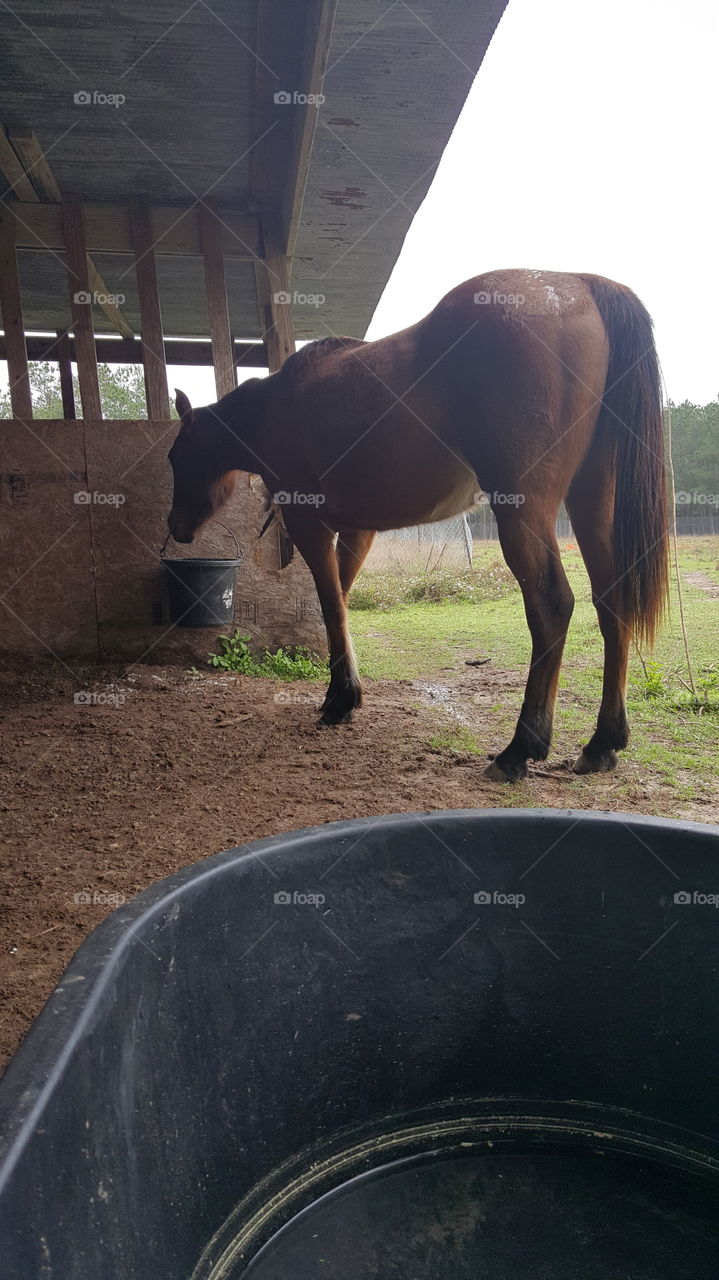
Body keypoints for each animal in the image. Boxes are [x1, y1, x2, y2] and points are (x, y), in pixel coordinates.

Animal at [168, 269, 669, 782]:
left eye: (174, 456)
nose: (177, 527)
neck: (275, 407)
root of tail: (579, 284)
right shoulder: (357, 531)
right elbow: (341, 602)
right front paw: (343, 694)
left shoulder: (310, 525)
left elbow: (328, 605)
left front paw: (340, 700)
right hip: (591, 500)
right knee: (612, 603)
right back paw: (602, 743)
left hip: (524, 511)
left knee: (551, 605)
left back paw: (519, 750)